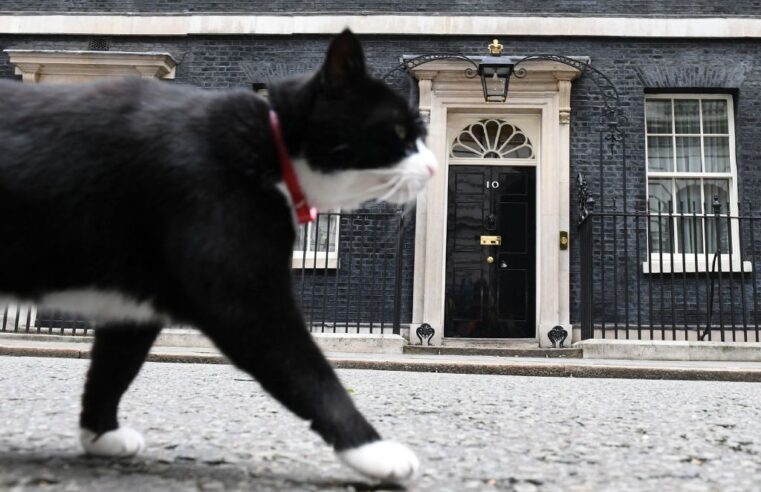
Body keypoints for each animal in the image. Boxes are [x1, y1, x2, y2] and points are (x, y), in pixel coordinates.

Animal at [0, 28, 436, 482]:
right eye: (400, 132)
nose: (434, 167)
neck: (271, 145)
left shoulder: (136, 303)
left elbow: (114, 367)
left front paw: (100, 433)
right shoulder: (242, 297)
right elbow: (309, 372)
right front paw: (373, 449)